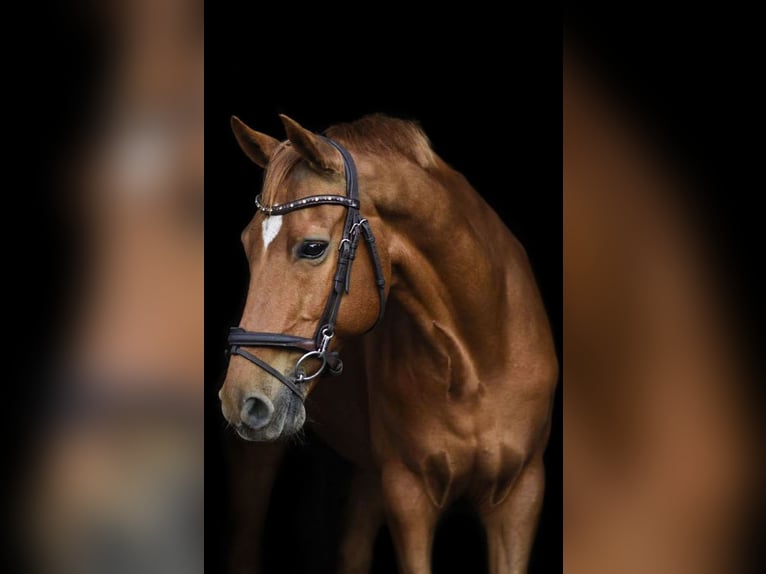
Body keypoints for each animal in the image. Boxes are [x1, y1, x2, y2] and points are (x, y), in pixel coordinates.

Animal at [218, 112, 558, 574]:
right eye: (247, 245)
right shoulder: (408, 495)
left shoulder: (520, 499)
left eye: (313, 247)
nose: (241, 400)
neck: (478, 362)